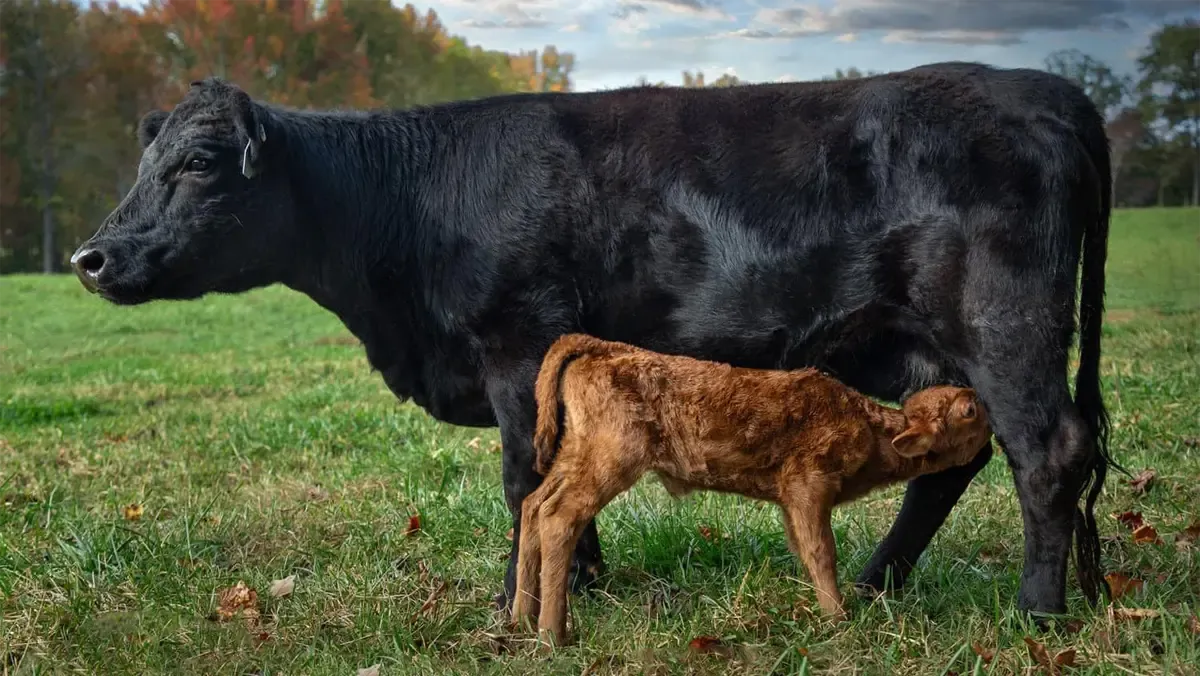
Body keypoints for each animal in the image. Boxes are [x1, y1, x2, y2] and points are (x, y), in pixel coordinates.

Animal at [69, 61, 1116, 619]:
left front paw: (514, 602)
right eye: (146, 160)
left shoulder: (517, 347)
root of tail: (1044, 88)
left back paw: (1035, 611)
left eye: (200, 163)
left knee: (1048, 451)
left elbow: (521, 476)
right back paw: (876, 586)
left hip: (1006, 324)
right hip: (923, 348)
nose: (90, 256)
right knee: (955, 459)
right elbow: (555, 473)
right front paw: (584, 584)